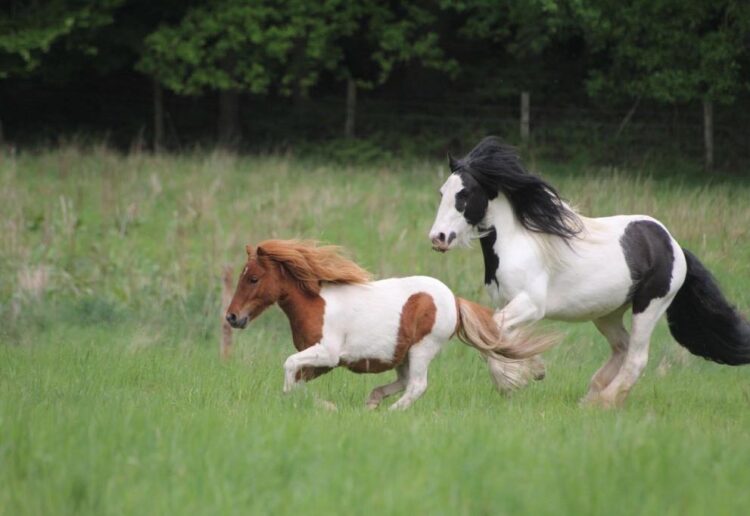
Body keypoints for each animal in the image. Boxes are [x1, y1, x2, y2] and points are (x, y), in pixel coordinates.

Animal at [224, 239, 551, 410]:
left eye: (253, 278)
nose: (232, 317)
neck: (314, 305)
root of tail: (454, 300)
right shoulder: (324, 363)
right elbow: (296, 377)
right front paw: (319, 404)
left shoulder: (327, 354)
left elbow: (289, 365)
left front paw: (320, 405)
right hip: (402, 354)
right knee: (405, 382)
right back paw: (373, 402)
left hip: (422, 348)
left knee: (417, 385)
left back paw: (391, 412)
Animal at [428, 136, 750, 407]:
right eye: (442, 192)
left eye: (464, 194)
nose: (438, 238)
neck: (517, 242)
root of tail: (674, 245)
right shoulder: (508, 304)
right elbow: (498, 338)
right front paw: (532, 369)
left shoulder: (531, 304)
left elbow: (491, 336)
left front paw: (512, 381)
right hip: (608, 313)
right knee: (622, 347)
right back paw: (592, 394)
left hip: (650, 306)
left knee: (636, 357)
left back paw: (604, 402)